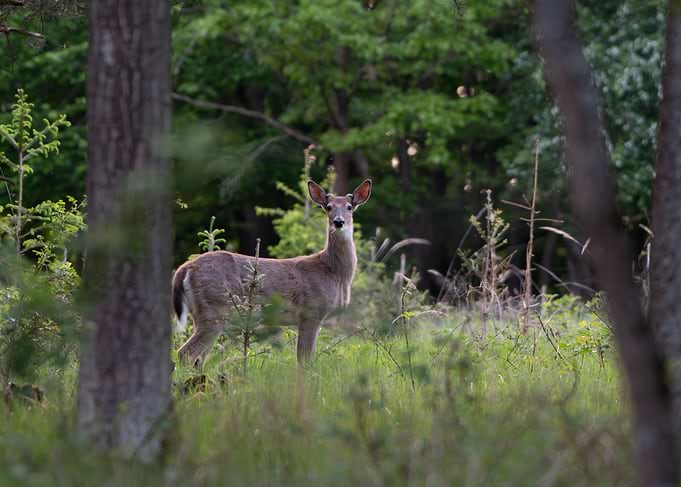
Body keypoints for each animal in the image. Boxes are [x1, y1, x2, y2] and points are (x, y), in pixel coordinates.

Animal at [172, 179, 372, 367]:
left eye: (349, 207)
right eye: (328, 207)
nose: (339, 222)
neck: (335, 274)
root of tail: (185, 268)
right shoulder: (310, 312)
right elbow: (303, 362)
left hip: (203, 314)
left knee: (198, 359)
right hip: (214, 309)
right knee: (185, 353)